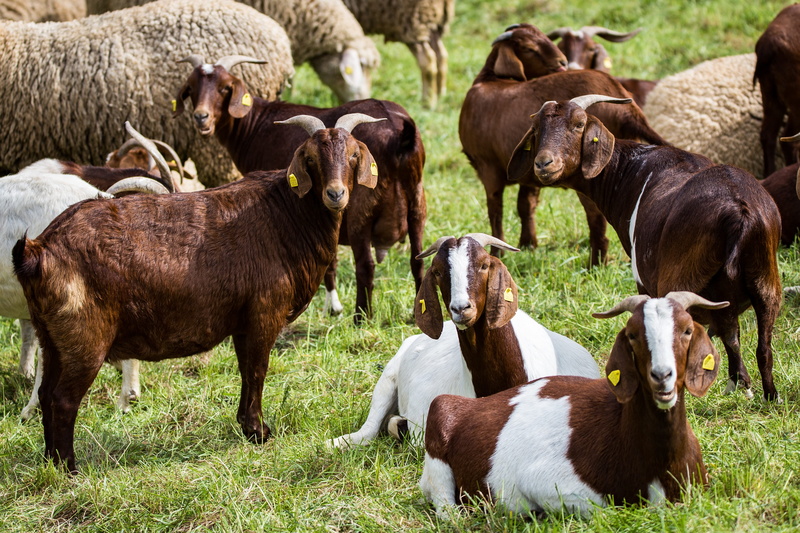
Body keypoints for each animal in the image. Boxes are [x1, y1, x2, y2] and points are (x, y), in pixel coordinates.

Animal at [12, 113, 384, 473]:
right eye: (310, 158)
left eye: (353, 155)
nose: (335, 194)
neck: (285, 214)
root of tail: (40, 250)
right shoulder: (265, 314)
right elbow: (258, 370)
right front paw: (260, 432)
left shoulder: (243, 321)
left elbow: (245, 370)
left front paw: (247, 427)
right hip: (84, 340)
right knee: (63, 399)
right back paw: (69, 468)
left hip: (52, 338)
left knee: (45, 394)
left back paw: (50, 461)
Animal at [174, 54, 426, 323]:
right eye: (191, 88)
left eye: (224, 88)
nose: (201, 117)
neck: (255, 125)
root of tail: (401, 134)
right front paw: (333, 306)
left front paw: (333, 306)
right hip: (417, 203)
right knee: (417, 259)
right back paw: (418, 312)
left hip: (361, 208)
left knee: (365, 265)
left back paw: (361, 317)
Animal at [420, 292, 725, 518]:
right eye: (633, 335)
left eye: (687, 330)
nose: (662, 375)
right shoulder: (543, 483)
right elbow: (599, 510)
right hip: (438, 436)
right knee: (446, 508)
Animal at [460, 24, 666, 266]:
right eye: (529, 47)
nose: (562, 62)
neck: (489, 81)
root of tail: (627, 109)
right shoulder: (530, 172)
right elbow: (525, 205)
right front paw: (528, 245)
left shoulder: (488, 167)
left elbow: (495, 211)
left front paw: (497, 253)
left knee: (595, 215)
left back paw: (595, 263)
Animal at [507, 94, 782, 400]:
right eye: (536, 130)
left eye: (579, 124)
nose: (544, 163)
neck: (626, 173)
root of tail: (738, 210)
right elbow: (731, 335)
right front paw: (740, 383)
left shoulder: (644, 279)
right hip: (765, 279)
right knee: (761, 345)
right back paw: (767, 394)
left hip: (681, 279)